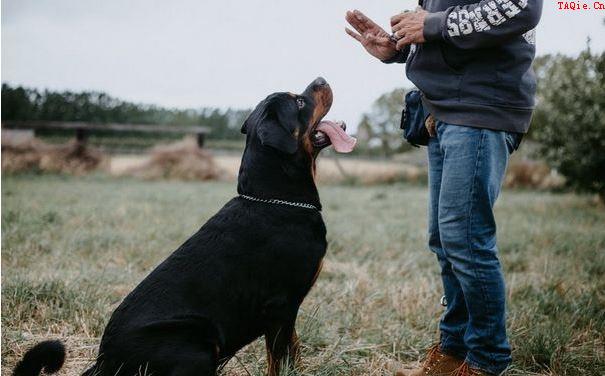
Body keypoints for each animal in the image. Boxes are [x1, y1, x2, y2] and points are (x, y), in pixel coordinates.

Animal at [14, 77, 356, 376]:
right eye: (299, 101)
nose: (321, 78)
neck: (274, 198)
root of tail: (105, 364)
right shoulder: (281, 307)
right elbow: (282, 360)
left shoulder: (287, 313)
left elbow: (293, 353)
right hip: (197, 341)